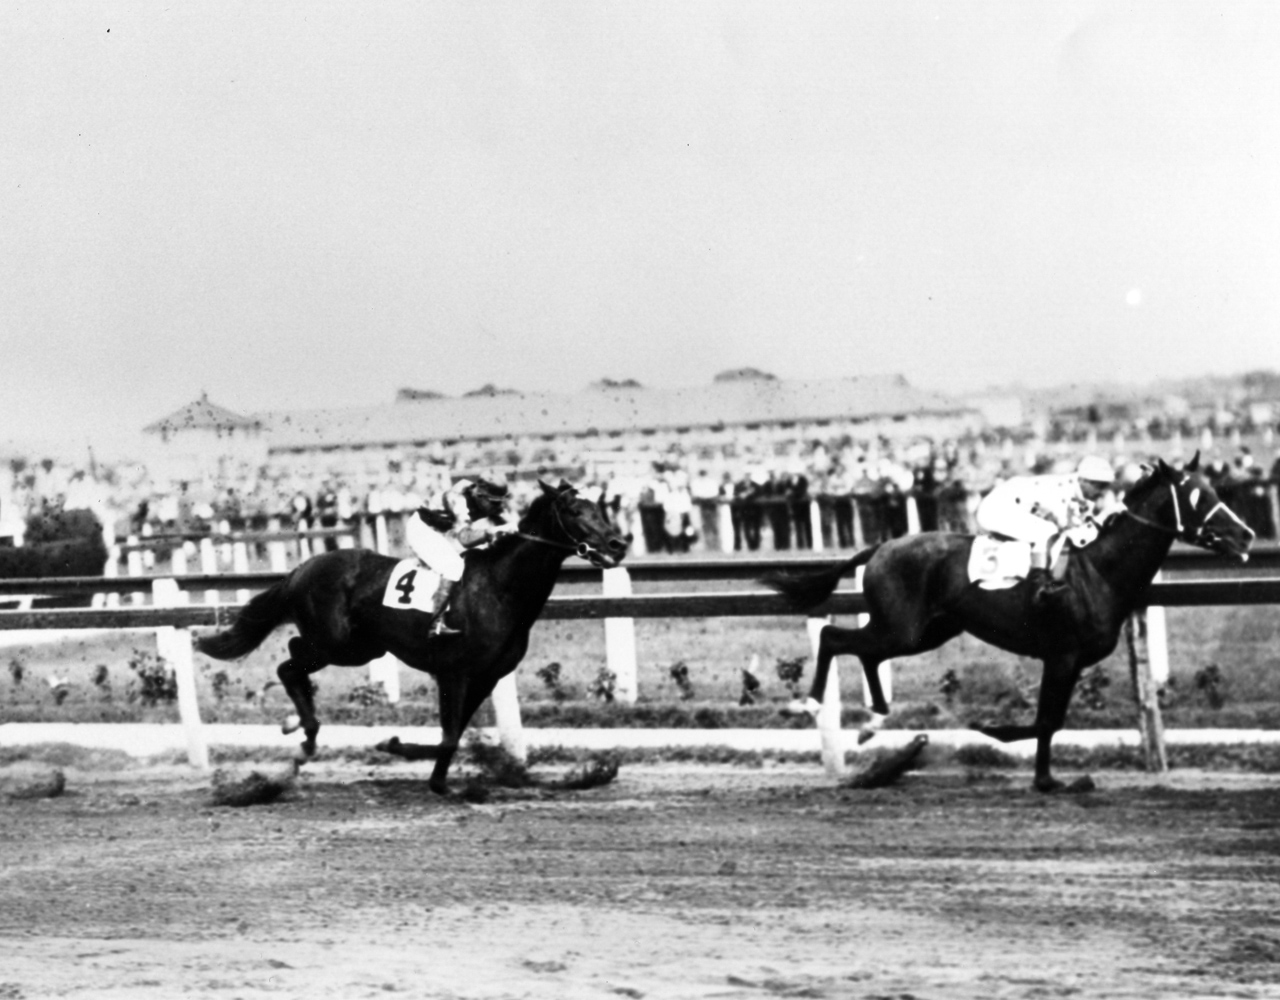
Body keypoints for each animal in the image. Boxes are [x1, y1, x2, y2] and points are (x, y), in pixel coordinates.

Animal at [198, 478, 629, 793]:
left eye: (600, 508)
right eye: (575, 511)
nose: (618, 544)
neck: (501, 588)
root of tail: (302, 567)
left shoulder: (486, 677)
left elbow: (452, 736)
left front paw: (434, 778)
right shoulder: (454, 673)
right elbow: (448, 737)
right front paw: (392, 746)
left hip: (362, 647)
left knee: (292, 662)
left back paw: (303, 734)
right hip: (338, 644)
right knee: (288, 663)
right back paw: (302, 735)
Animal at [762, 455, 1254, 793]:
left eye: (1214, 489)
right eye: (1197, 496)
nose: (1246, 534)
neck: (1099, 570)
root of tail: (880, 547)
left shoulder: (1072, 661)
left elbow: (1051, 721)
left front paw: (1045, 774)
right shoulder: (1061, 656)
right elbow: (1045, 721)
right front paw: (1023, 759)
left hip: (923, 632)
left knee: (865, 652)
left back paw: (874, 719)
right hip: (903, 627)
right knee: (834, 637)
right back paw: (813, 703)